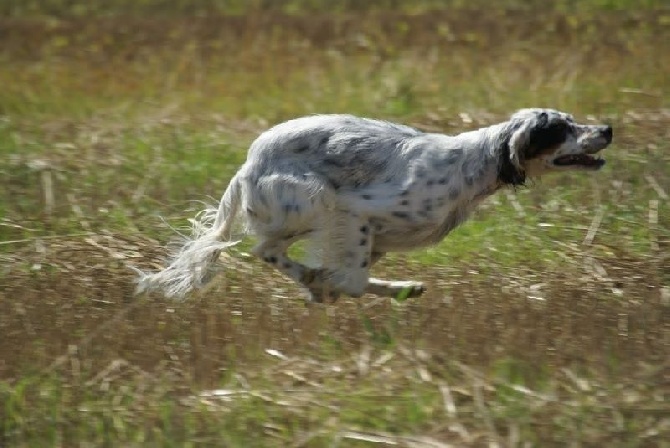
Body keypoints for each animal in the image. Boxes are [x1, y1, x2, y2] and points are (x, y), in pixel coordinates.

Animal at [136, 109, 616, 302]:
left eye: (573, 120)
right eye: (561, 128)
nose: (608, 129)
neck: (473, 163)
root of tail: (249, 163)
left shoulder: (378, 238)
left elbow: (352, 274)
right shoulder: (357, 213)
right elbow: (350, 280)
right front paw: (325, 286)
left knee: (270, 251)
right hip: (314, 199)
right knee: (266, 250)